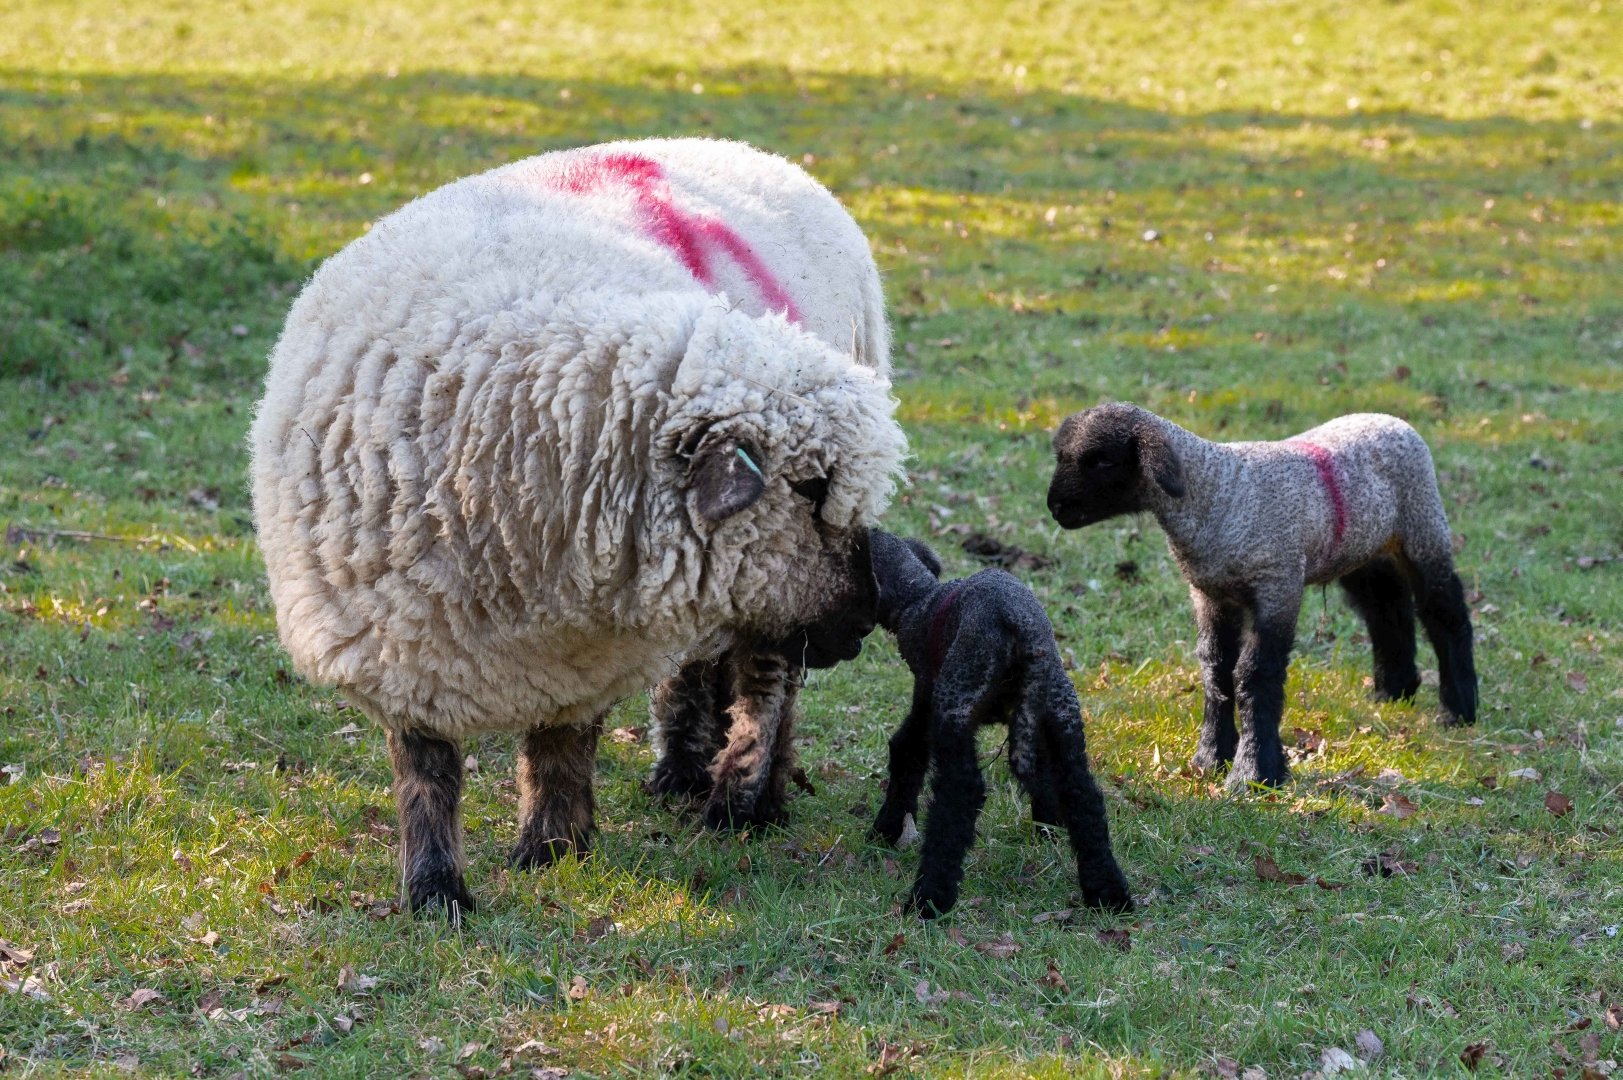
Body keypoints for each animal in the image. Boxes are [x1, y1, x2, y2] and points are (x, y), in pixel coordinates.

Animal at [249, 138, 907, 917]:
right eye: (809, 487)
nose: (866, 621)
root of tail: (760, 153)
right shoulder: (400, 646)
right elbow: (425, 771)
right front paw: (436, 891)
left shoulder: (585, 650)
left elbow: (561, 747)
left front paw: (551, 849)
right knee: (712, 664)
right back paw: (682, 773)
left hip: (764, 599)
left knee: (767, 680)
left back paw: (746, 801)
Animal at [865, 531, 1133, 918]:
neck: (919, 598)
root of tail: (1019, 624)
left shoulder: (926, 698)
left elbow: (906, 754)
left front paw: (885, 830)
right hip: (1061, 715)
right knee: (1083, 796)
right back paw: (1109, 894)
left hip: (957, 703)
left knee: (961, 794)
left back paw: (929, 899)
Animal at [1046, 403, 1478, 790]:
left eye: (1101, 460)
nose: (1055, 507)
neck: (1215, 493)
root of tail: (1391, 418)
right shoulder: (1211, 593)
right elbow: (1215, 668)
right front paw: (1211, 757)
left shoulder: (1277, 584)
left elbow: (1255, 674)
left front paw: (1254, 772)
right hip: (1363, 550)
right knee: (1386, 609)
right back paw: (1394, 691)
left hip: (1422, 526)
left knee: (1444, 612)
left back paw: (1458, 709)